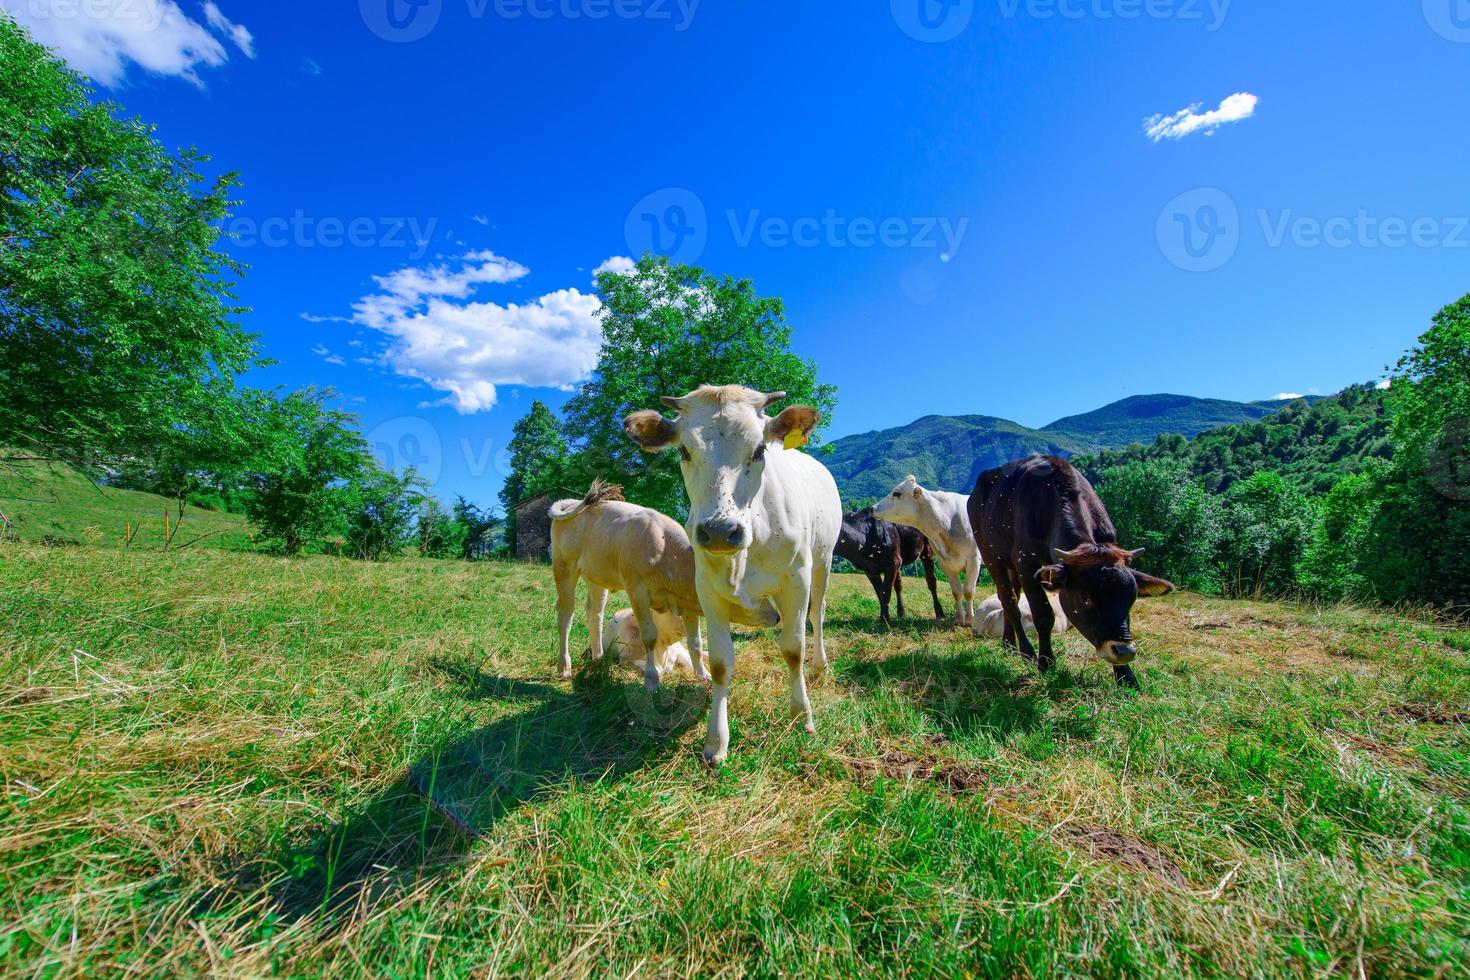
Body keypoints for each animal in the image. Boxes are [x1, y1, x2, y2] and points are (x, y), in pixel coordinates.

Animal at [552, 481, 711, 690]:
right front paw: (652, 679)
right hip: (564, 567)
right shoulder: (638, 591)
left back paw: (599, 660)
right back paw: (564, 667)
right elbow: (650, 635)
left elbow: (696, 642)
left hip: (596, 577)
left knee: (595, 615)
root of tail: (571, 502)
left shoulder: (686, 603)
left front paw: (703, 675)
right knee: (566, 615)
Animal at [626, 384, 846, 764]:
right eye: (684, 450)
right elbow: (720, 665)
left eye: (759, 449)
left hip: (824, 561)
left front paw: (801, 714)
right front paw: (716, 741)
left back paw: (820, 665)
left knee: (817, 614)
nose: (719, 531)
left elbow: (793, 649)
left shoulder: (797, 580)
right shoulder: (708, 589)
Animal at [876, 476, 981, 628]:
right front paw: (959, 619)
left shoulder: (973, 559)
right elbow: (956, 592)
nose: (872, 508)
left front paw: (970, 620)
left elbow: (968, 591)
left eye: (897, 493)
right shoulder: (944, 562)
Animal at [970, 455, 1176, 690]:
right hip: (991, 555)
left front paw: (1126, 676)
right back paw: (1026, 651)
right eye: (1084, 596)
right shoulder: (1025, 562)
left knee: (1010, 595)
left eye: (1131, 598)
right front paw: (1045, 662)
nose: (1123, 650)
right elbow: (1043, 614)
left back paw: (1008, 643)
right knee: (1009, 600)